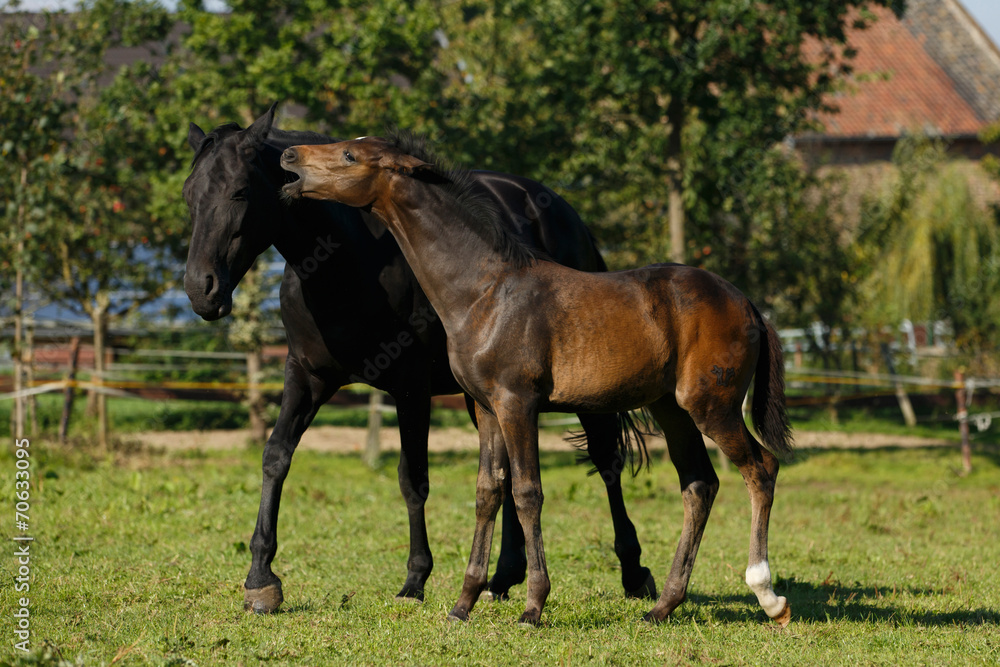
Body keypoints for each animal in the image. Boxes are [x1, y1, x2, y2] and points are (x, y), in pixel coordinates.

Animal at [184, 105, 660, 616]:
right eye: (190, 194)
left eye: (239, 191)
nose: (200, 290)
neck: (345, 264)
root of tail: (565, 212)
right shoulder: (306, 376)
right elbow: (276, 457)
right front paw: (260, 579)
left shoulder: (410, 387)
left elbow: (412, 479)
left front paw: (415, 579)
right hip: (489, 397)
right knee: (511, 476)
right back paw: (504, 576)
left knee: (606, 461)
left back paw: (634, 572)